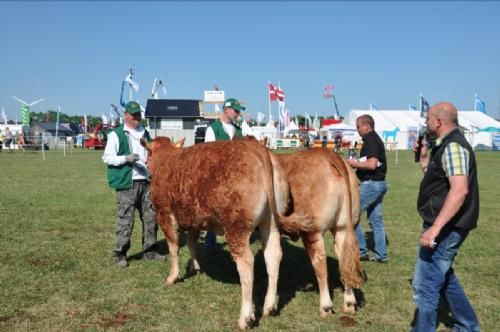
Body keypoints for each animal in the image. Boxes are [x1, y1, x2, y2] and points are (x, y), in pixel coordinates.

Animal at [148, 136, 288, 328]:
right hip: (271, 223)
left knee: (246, 263)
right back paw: (270, 306)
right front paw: (194, 267)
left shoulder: (164, 214)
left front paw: (173, 277)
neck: (165, 159)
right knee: (273, 256)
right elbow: (192, 244)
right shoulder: (194, 219)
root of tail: (257, 147)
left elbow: (174, 247)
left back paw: (245, 317)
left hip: (236, 227)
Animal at [276, 148, 366, 316]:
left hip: (313, 232)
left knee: (320, 264)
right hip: (344, 227)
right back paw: (349, 303)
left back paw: (325, 307)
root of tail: (328, 154)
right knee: (345, 261)